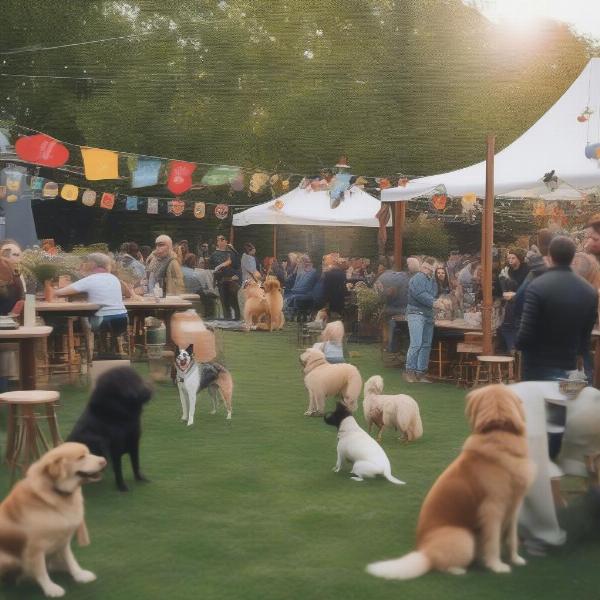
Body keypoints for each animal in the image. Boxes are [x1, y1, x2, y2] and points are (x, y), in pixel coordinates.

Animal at [0, 440, 105, 596]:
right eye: (81, 457)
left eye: (89, 452)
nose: (104, 461)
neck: (56, 493)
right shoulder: (35, 547)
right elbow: (41, 570)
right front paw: (51, 588)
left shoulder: (63, 539)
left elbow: (70, 559)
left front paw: (79, 574)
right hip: (7, 558)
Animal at [366, 386, 536, 580]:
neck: (498, 431)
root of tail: (423, 552)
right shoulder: (492, 510)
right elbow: (493, 543)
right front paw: (497, 566)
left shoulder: (514, 508)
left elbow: (512, 539)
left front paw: (516, 559)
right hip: (465, 538)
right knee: (440, 564)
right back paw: (459, 570)